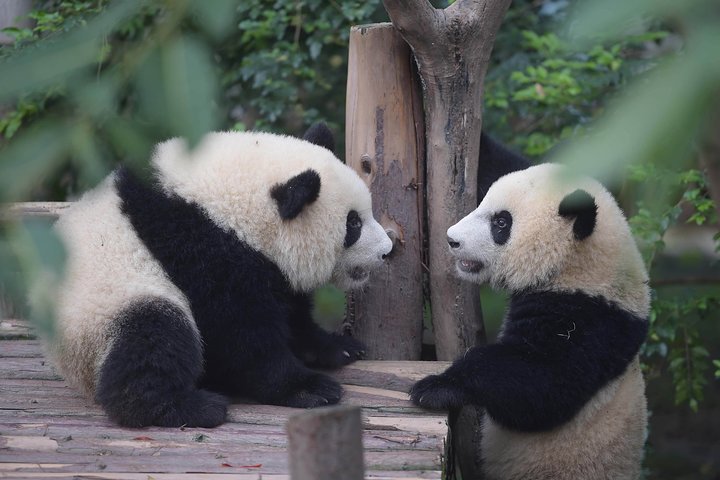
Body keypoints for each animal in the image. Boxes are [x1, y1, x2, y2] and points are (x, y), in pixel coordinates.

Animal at [43, 123, 393, 428]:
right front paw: (309, 388)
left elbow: (292, 313)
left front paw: (337, 347)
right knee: (156, 335)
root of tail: (71, 366)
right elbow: (239, 334)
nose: (387, 250)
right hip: (105, 310)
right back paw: (188, 408)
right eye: (353, 224)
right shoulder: (200, 249)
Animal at [411, 150, 649, 479]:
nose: (452, 240)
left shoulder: (591, 321)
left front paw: (436, 386)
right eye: (483, 201)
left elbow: (542, 384)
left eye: (501, 222)